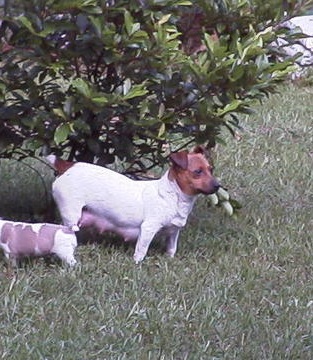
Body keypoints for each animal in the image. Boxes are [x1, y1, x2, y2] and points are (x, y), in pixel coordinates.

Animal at [46, 147, 218, 264]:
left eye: (211, 169)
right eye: (197, 172)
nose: (218, 185)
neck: (173, 195)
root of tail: (67, 166)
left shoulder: (173, 232)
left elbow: (171, 248)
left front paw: (170, 259)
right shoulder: (148, 229)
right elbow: (141, 250)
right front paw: (137, 263)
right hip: (71, 214)